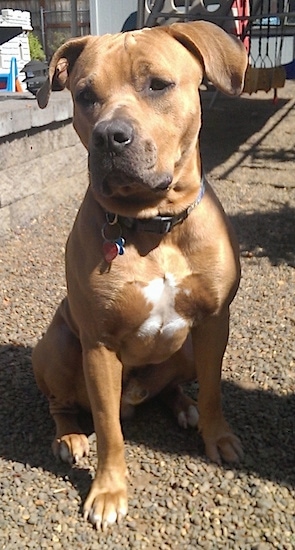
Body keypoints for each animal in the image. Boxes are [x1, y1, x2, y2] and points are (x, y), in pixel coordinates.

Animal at [33, 20, 249, 532]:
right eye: (85, 95)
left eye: (158, 85)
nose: (110, 136)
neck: (154, 225)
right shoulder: (98, 345)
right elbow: (109, 429)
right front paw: (109, 491)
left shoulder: (215, 322)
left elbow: (214, 390)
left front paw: (217, 437)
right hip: (58, 345)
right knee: (62, 405)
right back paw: (69, 438)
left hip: (185, 349)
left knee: (172, 385)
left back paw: (182, 406)